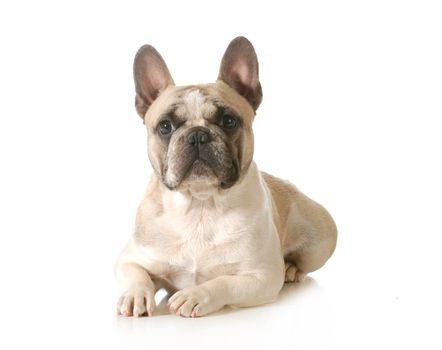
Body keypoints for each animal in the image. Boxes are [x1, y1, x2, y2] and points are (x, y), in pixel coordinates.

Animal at [115, 35, 336, 318]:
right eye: (165, 126)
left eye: (229, 121)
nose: (198, 135)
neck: (200, 205)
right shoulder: (130, 258)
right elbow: (136, 275)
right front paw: (135, 295)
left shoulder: (261, 277)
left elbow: (224, 282)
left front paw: (195, 295)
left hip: (318, 240)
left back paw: (292, 269)